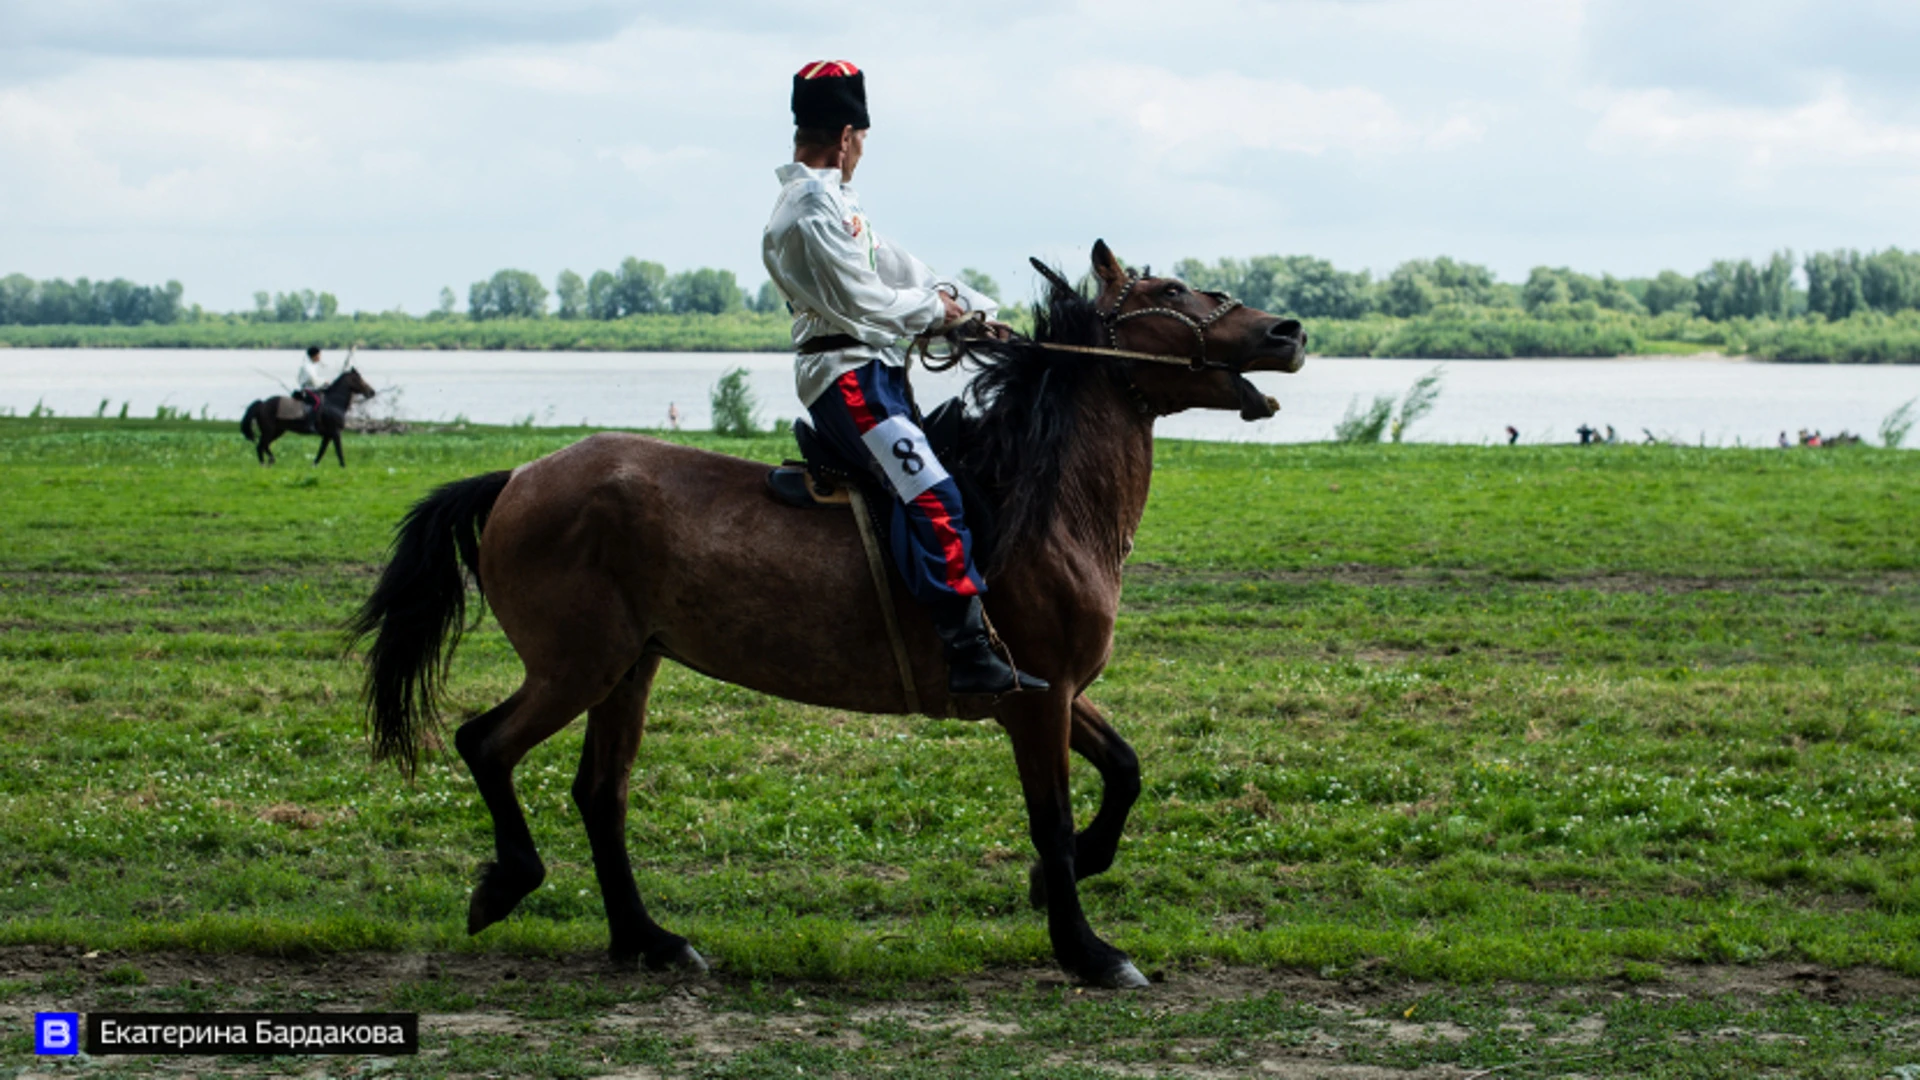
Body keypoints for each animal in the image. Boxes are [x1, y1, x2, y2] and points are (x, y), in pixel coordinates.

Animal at [240, 367, 374, 465]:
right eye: (359, 379)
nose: (372, 392)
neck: (333, 403)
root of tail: (262, 404)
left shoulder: (328, 435)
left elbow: (321, 451)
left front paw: (314, 465)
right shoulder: (335, 432)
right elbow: (339, 451)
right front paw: (343, 467)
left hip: (278, 431)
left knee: (264, 445)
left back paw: (271, 461)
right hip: (269, 430)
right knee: (261, 446)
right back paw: (265, 464)